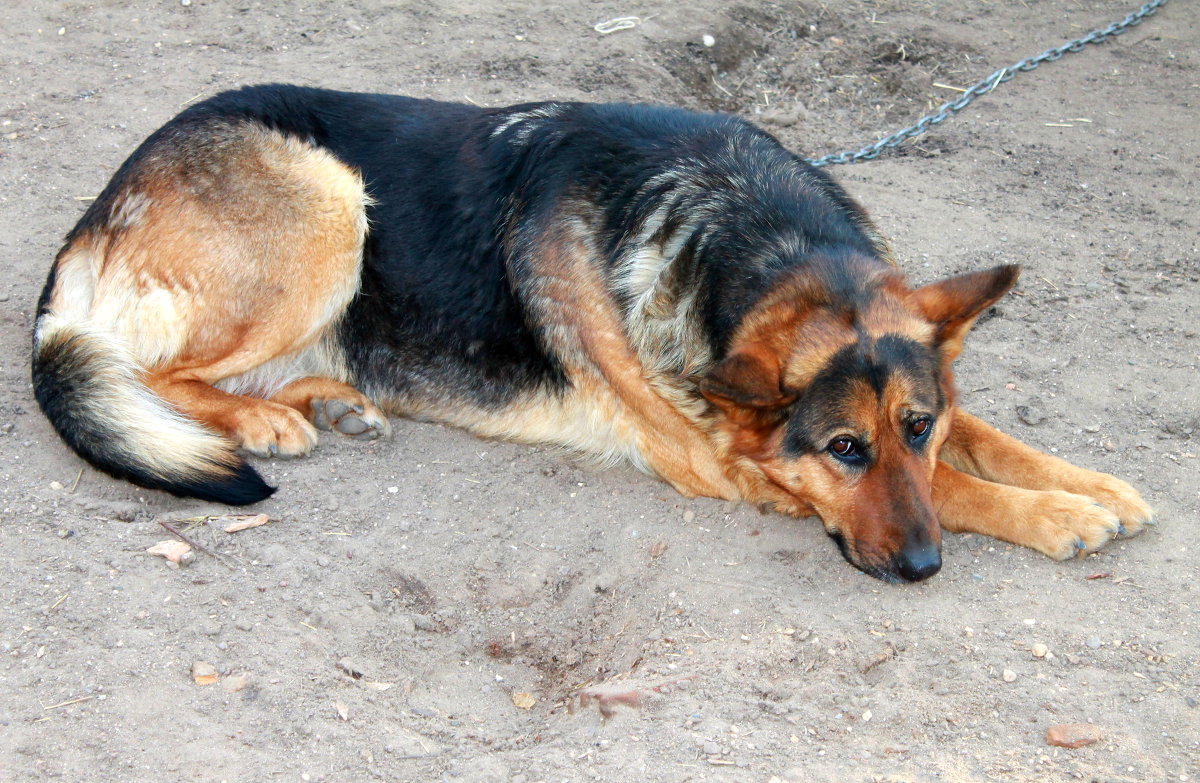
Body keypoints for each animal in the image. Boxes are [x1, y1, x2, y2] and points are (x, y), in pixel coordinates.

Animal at [30, 85, 1152, 581]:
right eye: (842, 450)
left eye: (914, 426)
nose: (922, 570)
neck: (745, 227)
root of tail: (97, 213)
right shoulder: (730, 462)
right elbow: (964, 487)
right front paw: (1056, 515)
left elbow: (984, 436)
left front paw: (1089, 482)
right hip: (329, 202)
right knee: (149, 369)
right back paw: (268, 422)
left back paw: (331, 403)